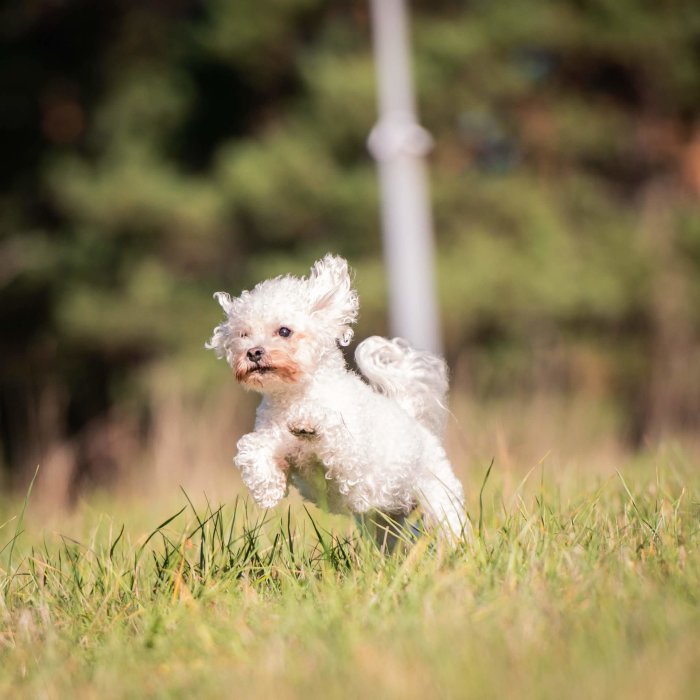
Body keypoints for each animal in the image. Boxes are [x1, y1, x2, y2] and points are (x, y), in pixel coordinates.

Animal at [208, 256, 470, 540]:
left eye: (284, 331)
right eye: (243, 335)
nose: (253, 352)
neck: (295, 396)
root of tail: (411, 417)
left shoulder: (353, 460)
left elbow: (335, 431)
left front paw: (308, 424)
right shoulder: (273, 438)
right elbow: (252, 448)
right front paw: (267, 488)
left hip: (440, 497)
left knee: (451, 527)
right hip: (382, 522)